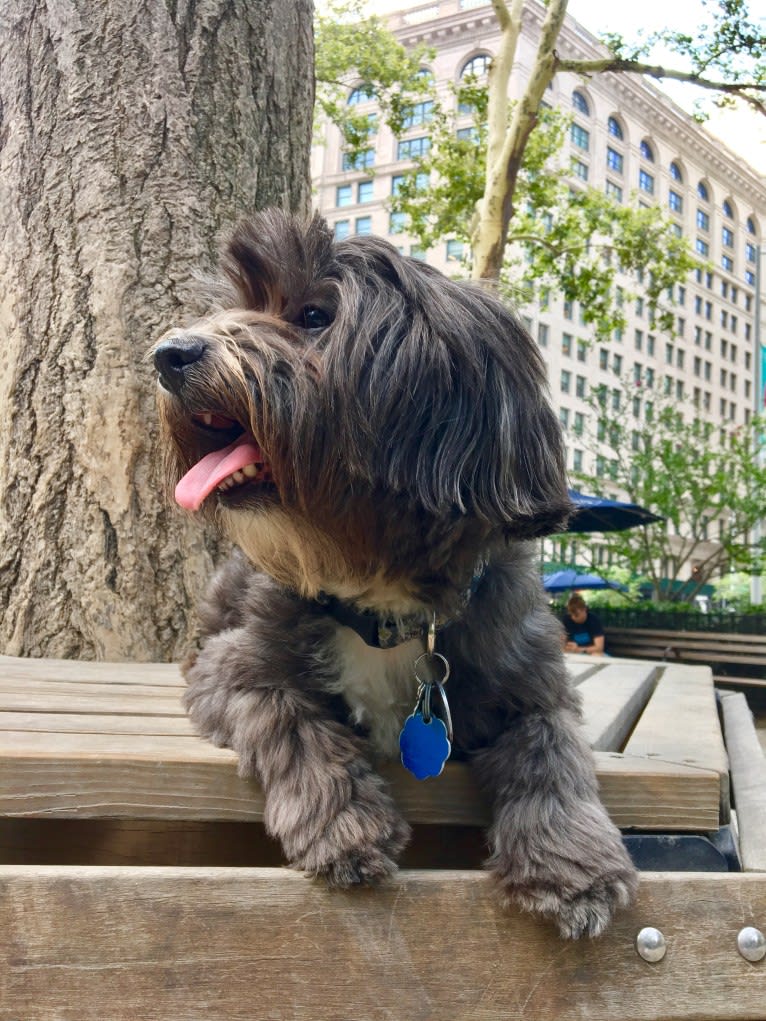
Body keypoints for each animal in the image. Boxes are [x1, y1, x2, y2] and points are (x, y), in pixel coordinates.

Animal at [153, 211, 637, 935]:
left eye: (314, 314)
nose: (166, 355)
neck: (377, 592)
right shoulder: (234, 667)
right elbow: (289, 718)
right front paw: (343, 821)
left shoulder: (533, 682)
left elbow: (552, 754)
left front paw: (571, 861)